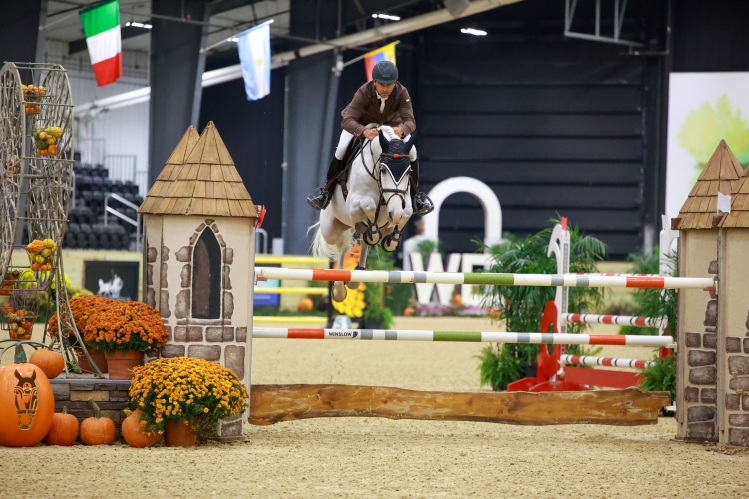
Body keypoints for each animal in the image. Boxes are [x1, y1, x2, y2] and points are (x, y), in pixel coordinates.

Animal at [310, 125, 415, 302]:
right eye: (383, 170)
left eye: (409, 172)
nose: (394, 214)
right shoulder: (354, 202)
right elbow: (369, 204)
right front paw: (374, 229)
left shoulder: (403, 200)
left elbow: (407, 211)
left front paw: (392, 240)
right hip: (330, 230)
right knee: (342, 247)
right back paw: (339, 288)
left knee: (365, 242)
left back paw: (358, 273)